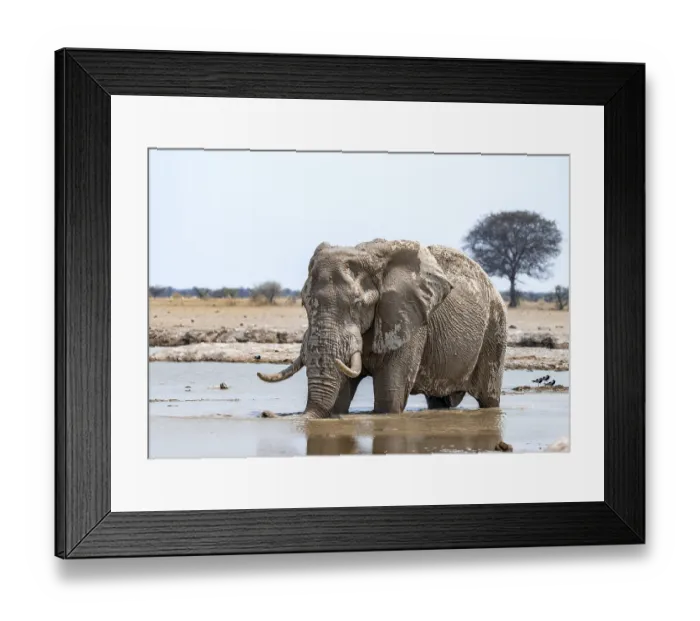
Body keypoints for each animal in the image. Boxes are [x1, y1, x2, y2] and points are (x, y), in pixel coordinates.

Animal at [257, 239, 508, 419]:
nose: (266, 414)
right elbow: (340, 398)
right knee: (437, 401)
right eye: (304, 303)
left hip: (495, 328)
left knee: (489, 397)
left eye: (358, 304)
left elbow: (389, 396)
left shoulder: (409, 319)